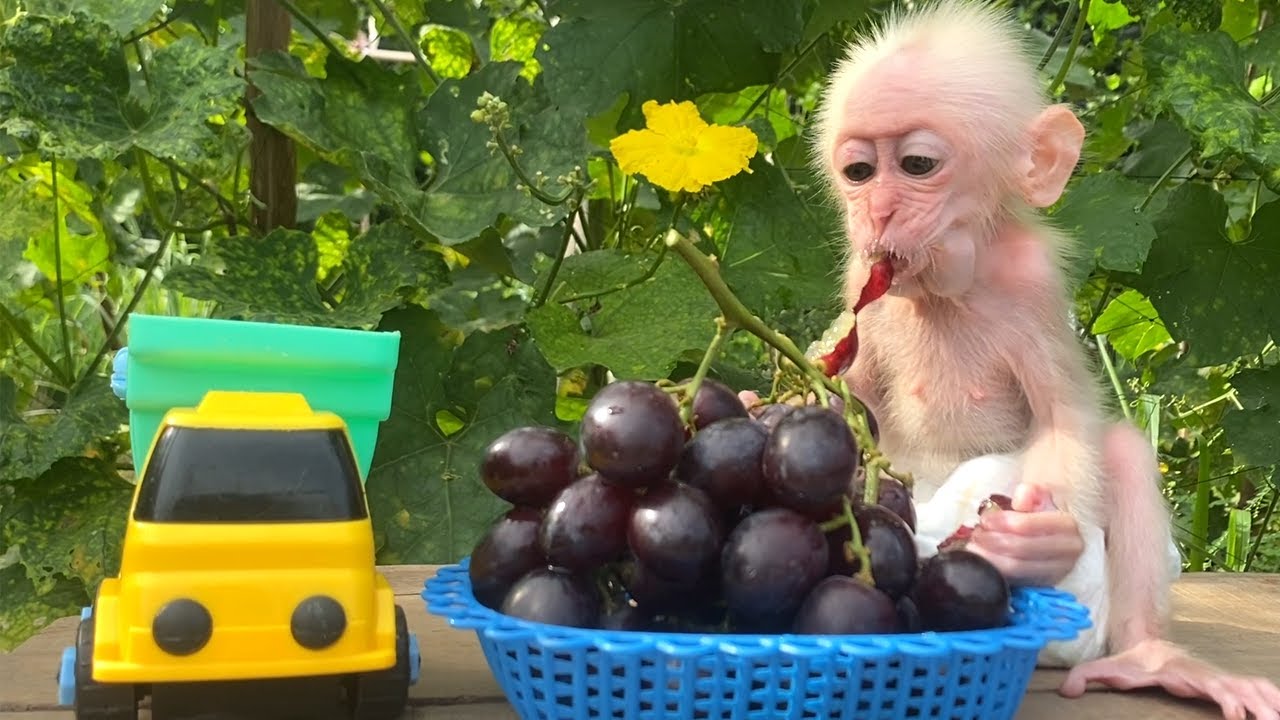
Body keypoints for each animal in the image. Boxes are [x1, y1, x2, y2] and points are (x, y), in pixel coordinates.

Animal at [803, 2, 1280, 718]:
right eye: (859, 173)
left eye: (916, 164)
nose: (877, 211)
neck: (951, 286)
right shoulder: (866, 276)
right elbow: (842, 382)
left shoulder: (1032, 281)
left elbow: (1063, 420)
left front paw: (1039, 542)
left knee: (1120, 451)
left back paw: (1149, 654)